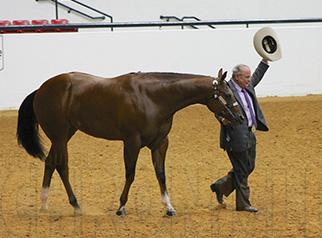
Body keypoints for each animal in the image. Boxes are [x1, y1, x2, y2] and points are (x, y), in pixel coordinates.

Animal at [17, 68, 244, 216]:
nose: (241, 118)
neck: (153, 98)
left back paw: (44, 204)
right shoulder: (131, 141)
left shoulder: (160, 143)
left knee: (50, 163)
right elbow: (130, 173)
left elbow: (161, 174)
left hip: (64, 134)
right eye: (227, 94)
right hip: (60, 135)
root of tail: (41, 89)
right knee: (62, 166)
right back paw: (76, 206)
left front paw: (169, 207)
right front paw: (121, 208)